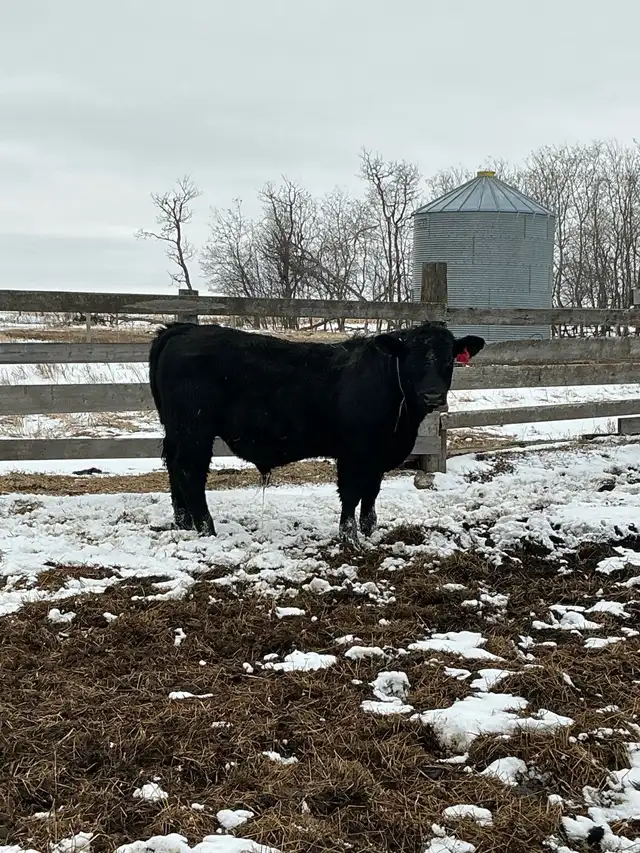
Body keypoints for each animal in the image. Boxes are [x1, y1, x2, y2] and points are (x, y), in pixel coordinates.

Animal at [148, 321, 484, 544]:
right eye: (411, 357)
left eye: (449, 358)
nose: (433, 395)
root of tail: (184, 329)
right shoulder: (354, 452)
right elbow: (351, 493)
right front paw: (349, 538)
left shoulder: (376, 455)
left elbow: (371, 493)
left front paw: (368, 530)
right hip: (195, 431)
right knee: (190, 474)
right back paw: (207, 529)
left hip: (177, 431)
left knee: (174, 470)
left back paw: (183, 523)